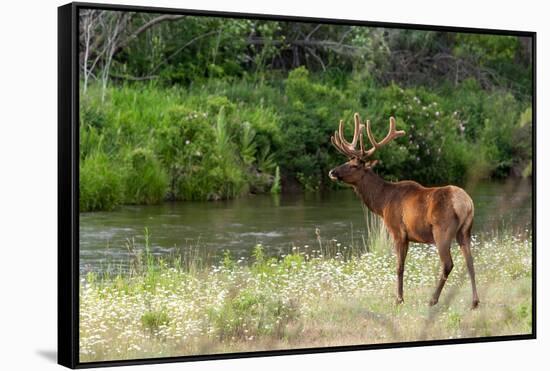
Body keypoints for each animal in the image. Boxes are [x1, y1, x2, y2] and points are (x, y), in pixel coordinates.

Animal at [330, 112, 480, 310]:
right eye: (347, 161)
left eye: (354, 165)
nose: (332, 172)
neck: (382, 203)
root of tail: (466, 203)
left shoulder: (398, 231)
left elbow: (399, 267)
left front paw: (399, 299)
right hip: (465, 230)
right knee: (470, 261)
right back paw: (474, 302)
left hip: (442, 230)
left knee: (448, 263)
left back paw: (433, 300)